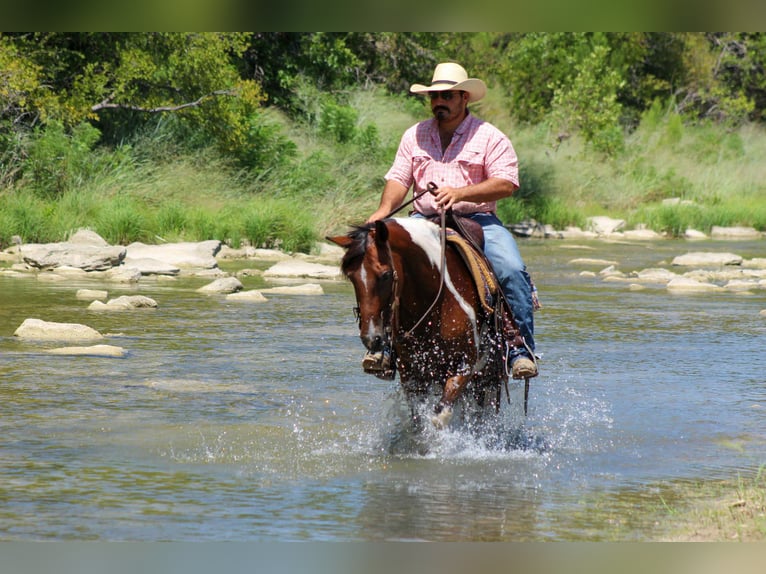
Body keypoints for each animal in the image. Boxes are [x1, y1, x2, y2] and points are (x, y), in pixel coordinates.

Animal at [328, 216, 525, 430]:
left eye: (386, 275)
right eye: (351, 277)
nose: (371, 337)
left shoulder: (464, 366)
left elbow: (440, 416)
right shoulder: (411, 373)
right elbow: (418, 420)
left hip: (487, 379)